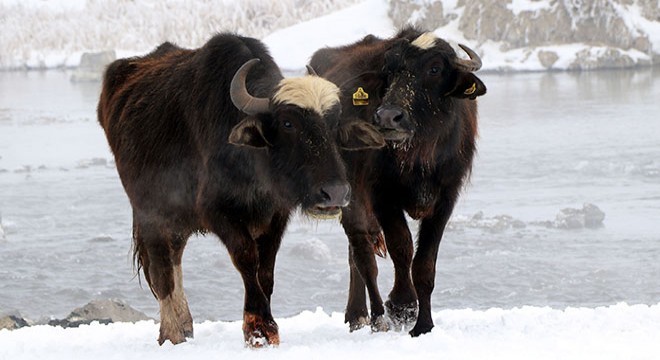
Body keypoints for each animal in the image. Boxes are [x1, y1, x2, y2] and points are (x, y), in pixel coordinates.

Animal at [98, 32, 386, 348]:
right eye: (288, 123)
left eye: (333, 124)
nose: (334, 193)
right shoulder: (220, 213)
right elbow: (247, 259)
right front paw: (259, 330)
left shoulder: (276, 215)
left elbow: (266, 271)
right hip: (150, 215)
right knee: (162, 272)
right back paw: (173, 333)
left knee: (175, 262)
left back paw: (185, 326)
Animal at [308, 26, 484, 336]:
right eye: (389, 70)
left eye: (435, 68)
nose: (388, 116)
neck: (418, 155)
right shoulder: (381, 196)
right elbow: (402, 248)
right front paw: (402, 306)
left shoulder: (446, 199)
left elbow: (425, 263)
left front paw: (423, 324)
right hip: (349, 199)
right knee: (362, 254)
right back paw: (367, 316)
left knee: (355, 255)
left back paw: (359, 316)